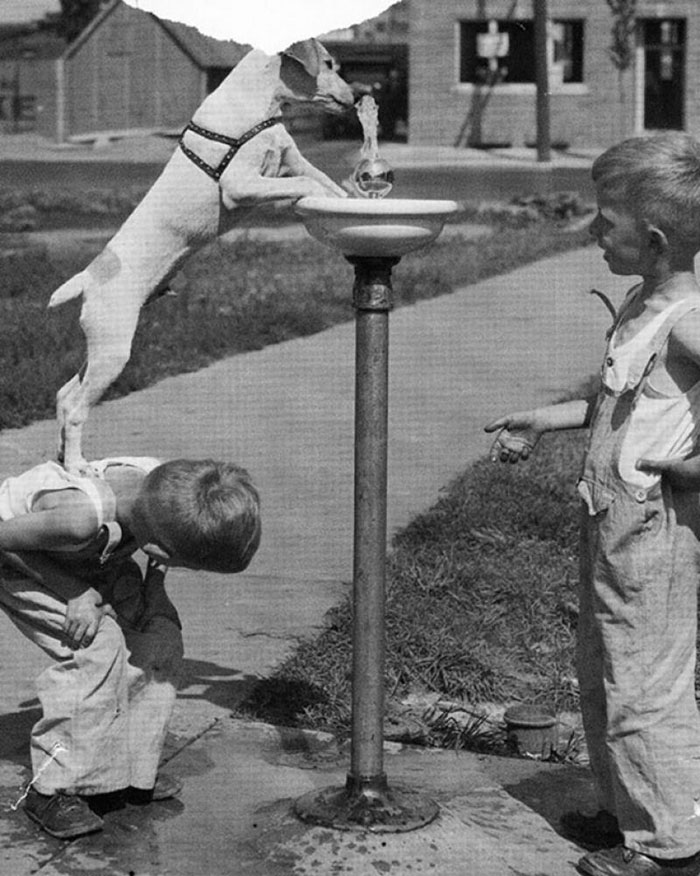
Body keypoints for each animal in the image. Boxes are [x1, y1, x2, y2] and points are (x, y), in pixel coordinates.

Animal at [50, 39, 356, 472]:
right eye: (328, 63)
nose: (356, 98)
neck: (255, 105)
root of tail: (89, 277)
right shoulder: (242, 186)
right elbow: (306, 184)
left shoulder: (292, 160)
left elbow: (323, 180)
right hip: (113, 350)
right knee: (76, 408)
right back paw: (77, 465)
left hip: (100, 349)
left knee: (64, 395)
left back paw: (63, 457)